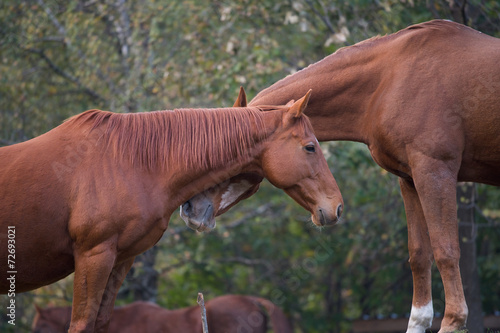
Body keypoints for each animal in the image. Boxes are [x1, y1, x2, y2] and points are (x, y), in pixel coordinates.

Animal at [178, 20, 498, 332]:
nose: (190, 209)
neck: (391, 79)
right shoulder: (409, 178)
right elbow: (419, 256)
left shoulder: (435, 171)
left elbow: (446, 251)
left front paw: (454, 319)